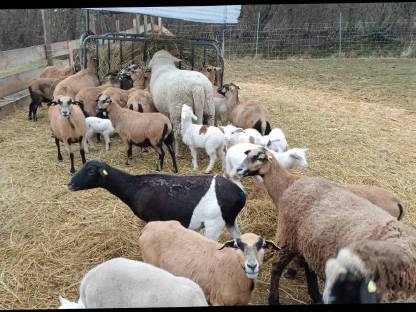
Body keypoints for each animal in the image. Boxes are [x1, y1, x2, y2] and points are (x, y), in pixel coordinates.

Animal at [66, 160, 245, 240]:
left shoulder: (152, 218)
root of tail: (240, 194)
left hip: (215, 223)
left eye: (91, 171)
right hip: (230, 220)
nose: (70, 184)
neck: (134, 187)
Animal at [236, 147, 416, 304]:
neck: (286, 184)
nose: (238, 170)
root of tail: (397, 200)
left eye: (258, 157)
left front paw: (292, 272)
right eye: (247, 154)